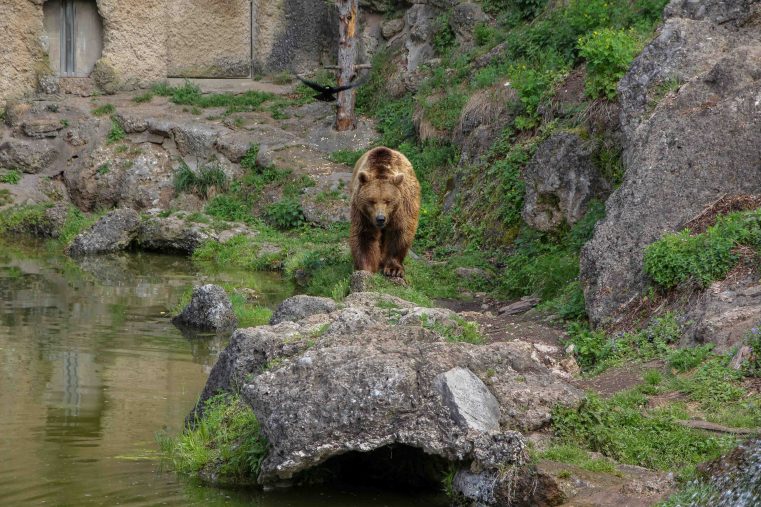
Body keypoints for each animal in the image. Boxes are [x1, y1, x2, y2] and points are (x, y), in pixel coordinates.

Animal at [350, 145, 422, 278]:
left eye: (388, 201)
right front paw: (365, 269)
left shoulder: (402, 208)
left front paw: (393, 269)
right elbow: (365, 235)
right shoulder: (362, 213)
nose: (380, 218)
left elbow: (399, 233)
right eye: (371, 201)